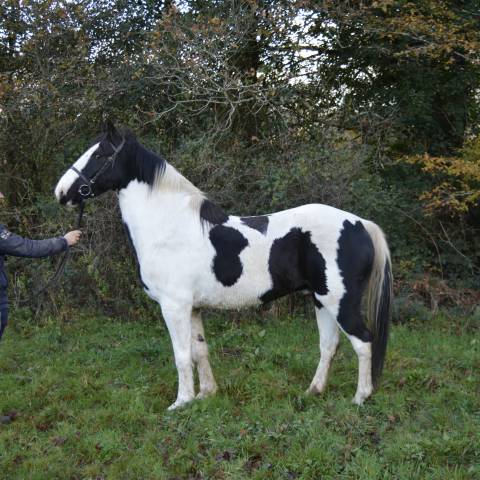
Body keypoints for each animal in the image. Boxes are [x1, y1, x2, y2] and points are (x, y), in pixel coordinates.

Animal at [56, 122, 392, 410]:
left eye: (99, 154)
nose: (61, 192)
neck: (168, 225)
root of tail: (361, 224)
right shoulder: (192, 308)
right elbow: (200, 351)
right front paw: (206, 394)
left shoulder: (174, 306)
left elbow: (181, 355)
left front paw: (181, 403)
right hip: (321, 301)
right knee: (329, 345)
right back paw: (313, 391)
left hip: (340, 302)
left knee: (363, 342)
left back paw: (360, 398)